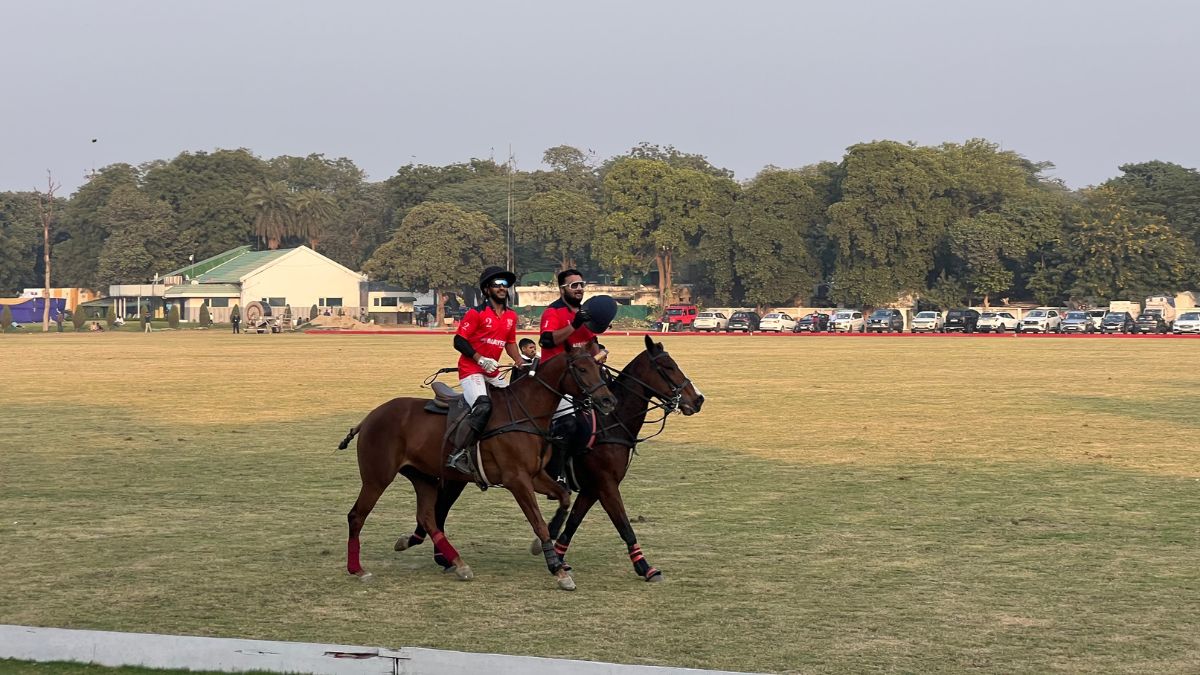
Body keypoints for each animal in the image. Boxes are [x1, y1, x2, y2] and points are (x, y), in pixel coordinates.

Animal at [338, 343, 619, 586]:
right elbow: (538, 521)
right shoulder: (517, 480)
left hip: (423, 476)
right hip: (377, 476)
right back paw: (358, 569)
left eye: (599, 368)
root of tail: (370, 416)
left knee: (427, 517)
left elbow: (564, 497)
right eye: (581, 369)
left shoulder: (536, 475)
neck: (526, 412)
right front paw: (558, 570)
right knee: (356, 515)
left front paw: (546, 548)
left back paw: (458, 563)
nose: (608, 401)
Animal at [393, 333, 700, 578]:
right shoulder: (606, 484)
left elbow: (572, 521)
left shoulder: (592, 487)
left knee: (437, 510)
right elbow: (623, 524)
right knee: (438, 510)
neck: (611, 422)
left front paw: (557, 554)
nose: (697, 400)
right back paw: (438, 554)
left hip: (457, 477)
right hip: (457, 476)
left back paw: (434, 552)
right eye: (668, 367)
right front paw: (645, 567)